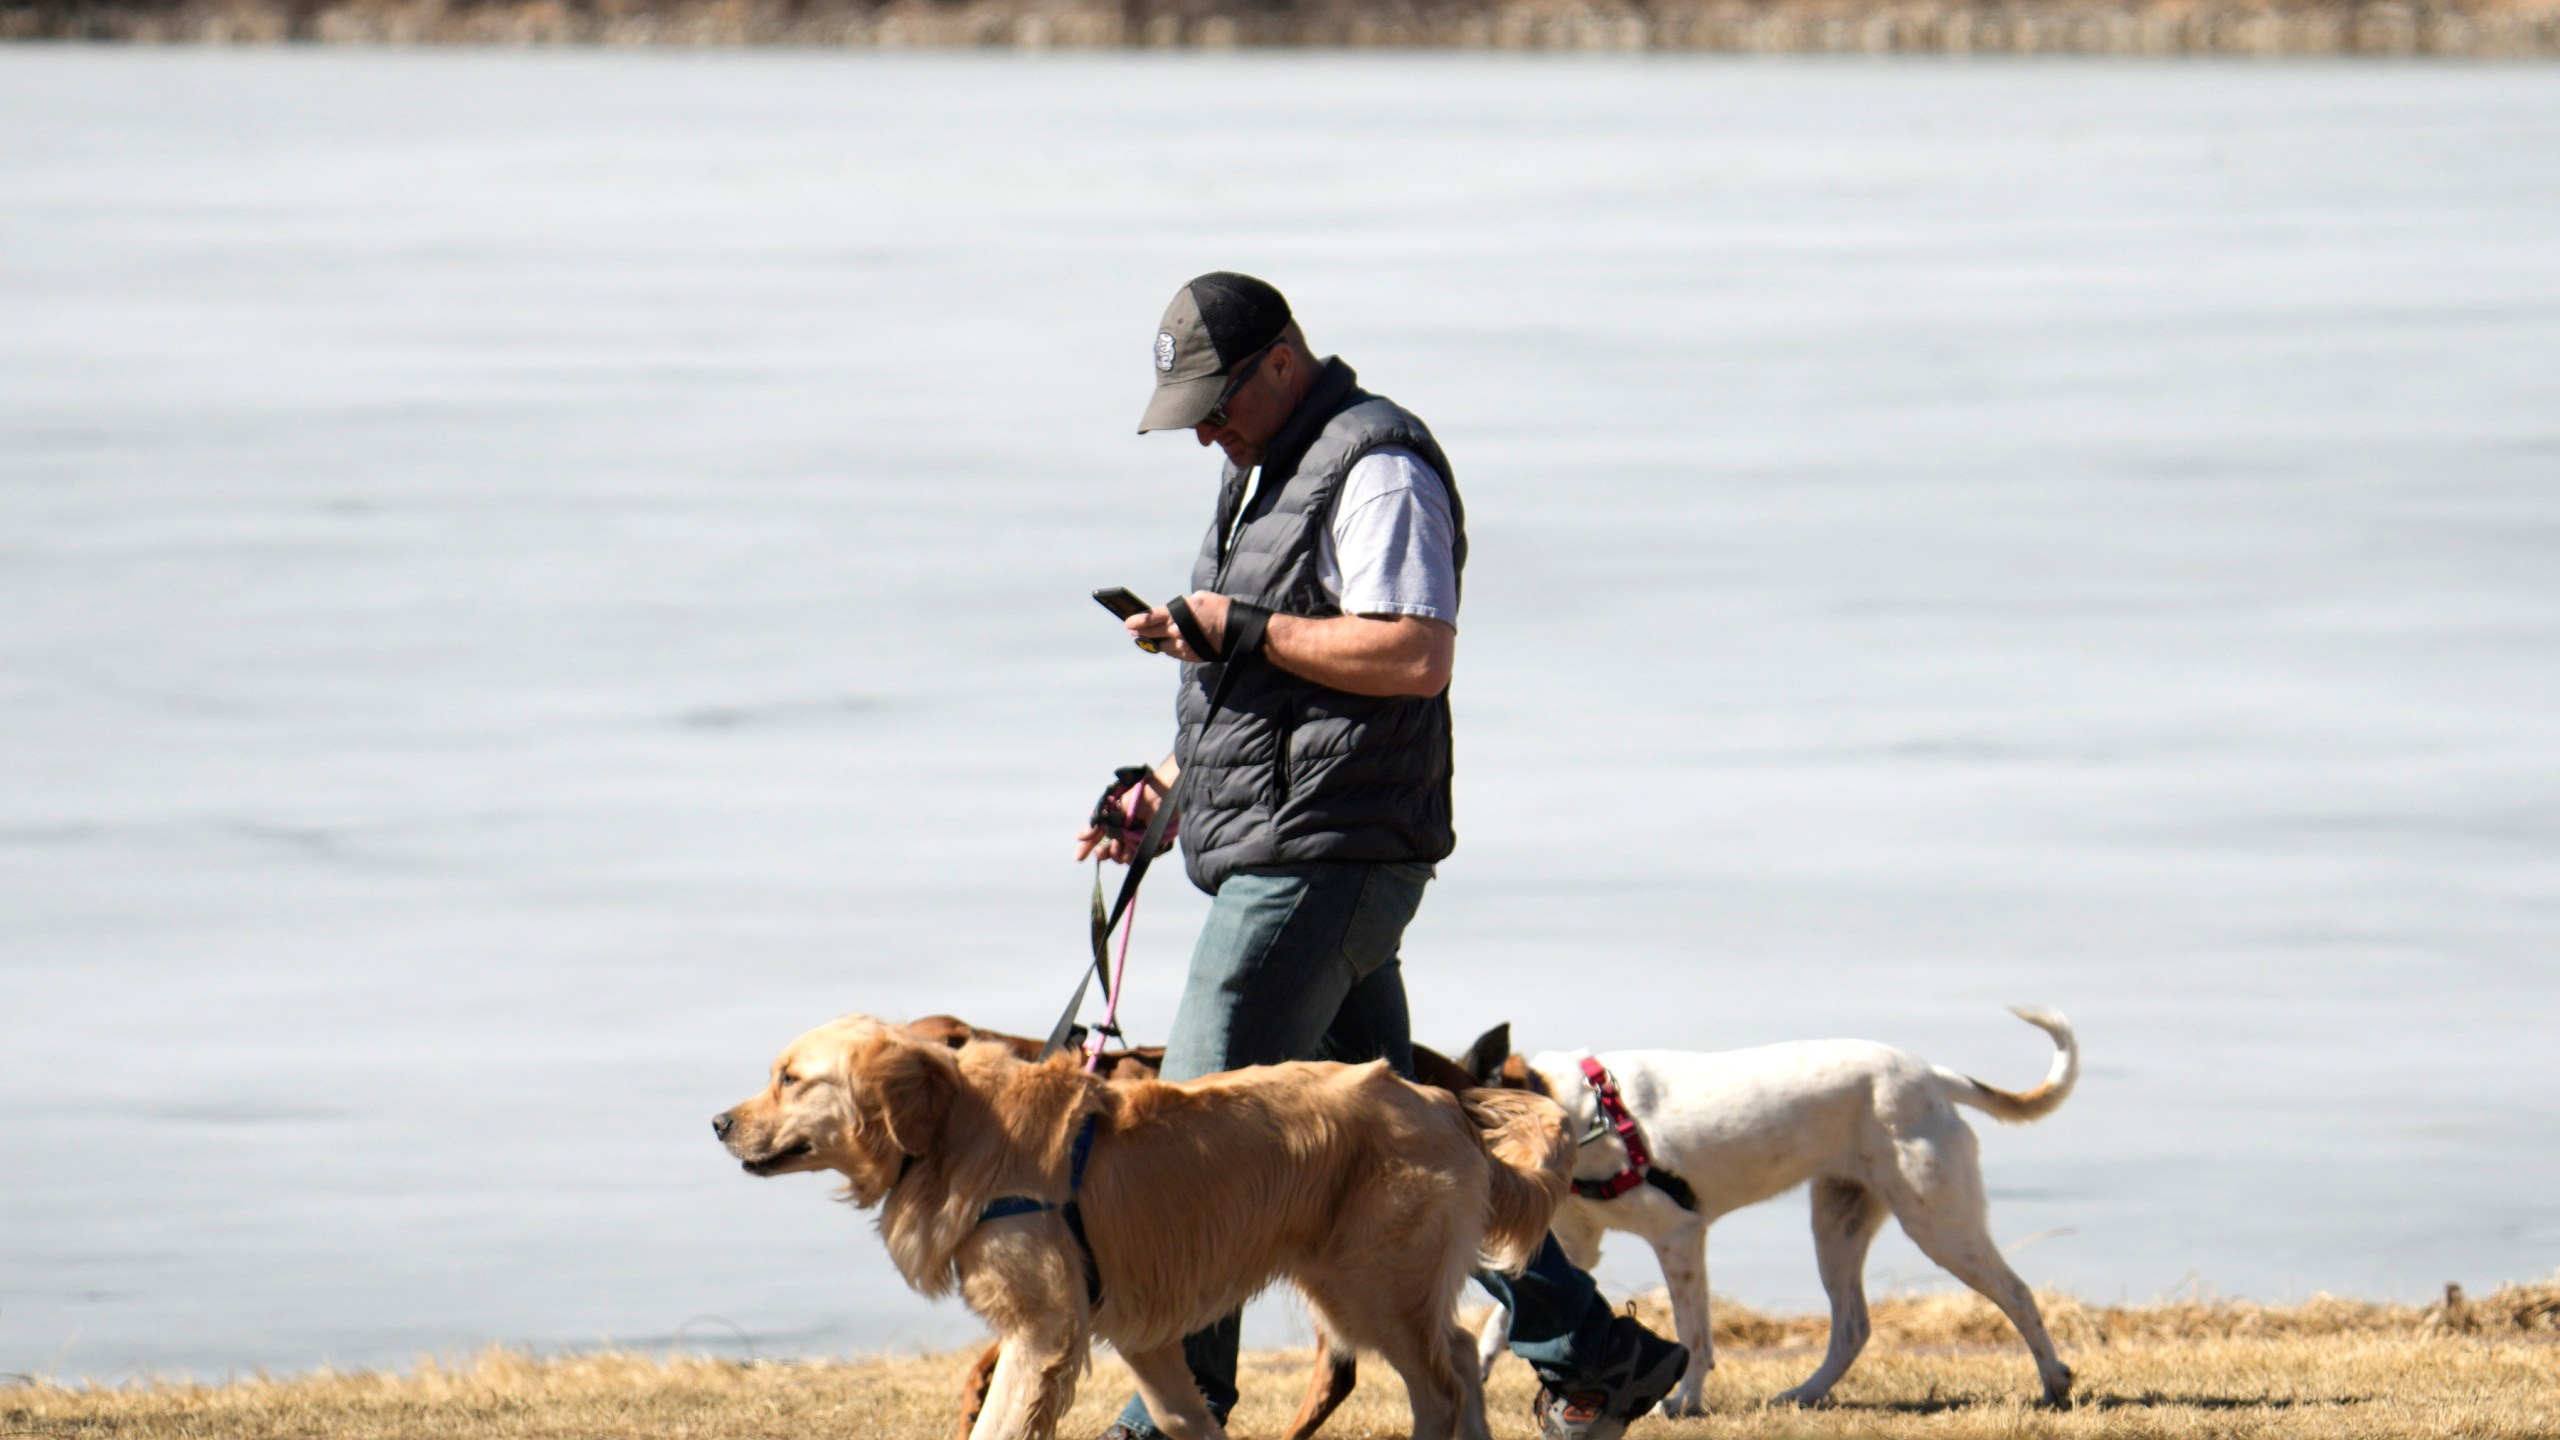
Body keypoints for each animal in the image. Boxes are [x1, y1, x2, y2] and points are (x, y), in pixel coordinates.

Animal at [711, 1009, 1566, 1434]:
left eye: (790, 1079)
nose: (718, 1122)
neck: (959, 1131)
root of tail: (1442, 1101)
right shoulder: (1138, 1331)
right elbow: (1186, 1419)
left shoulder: (1043, 1332)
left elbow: (998, 1424)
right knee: (1463, 1355)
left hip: (1369, 1285)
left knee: (1441, 1386)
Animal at [1464, 1004, 2078, 1404]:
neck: (1580, 1111)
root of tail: (1932, 1076)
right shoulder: (1576, 1247)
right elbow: (1503, 1317)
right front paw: (1480, 1369)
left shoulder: (1678, 1236)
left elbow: (1694, 1334)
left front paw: (1686, 1401)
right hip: (1838, 1226)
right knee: (1852, 1327)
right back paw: (1806, 1393)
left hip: (1940, 1225)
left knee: (2019, 1295)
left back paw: (2055, 1382)